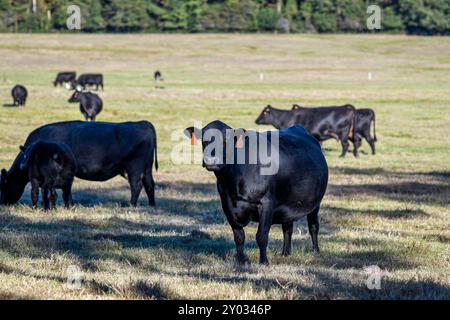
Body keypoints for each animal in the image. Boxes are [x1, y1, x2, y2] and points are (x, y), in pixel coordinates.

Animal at [0, 120, 158, 208]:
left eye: (3, 185)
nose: (2, 202)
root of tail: (143, 123)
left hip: (134, 168)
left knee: (136, 185)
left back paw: (131, 205)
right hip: (147, 167)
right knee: (149, 184)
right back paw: (151, 205)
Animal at [185, 120, 328, 264]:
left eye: (227, 139)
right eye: (204, 140)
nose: (211, 161)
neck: (232, 182)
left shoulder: (266, 203)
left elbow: (261, 235)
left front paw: (264, 262)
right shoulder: (227, 205)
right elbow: (239, 236)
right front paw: (240, 260)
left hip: (315, 204)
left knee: (313, 226)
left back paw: (316, 252)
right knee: (288, 227)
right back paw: (285, 253)